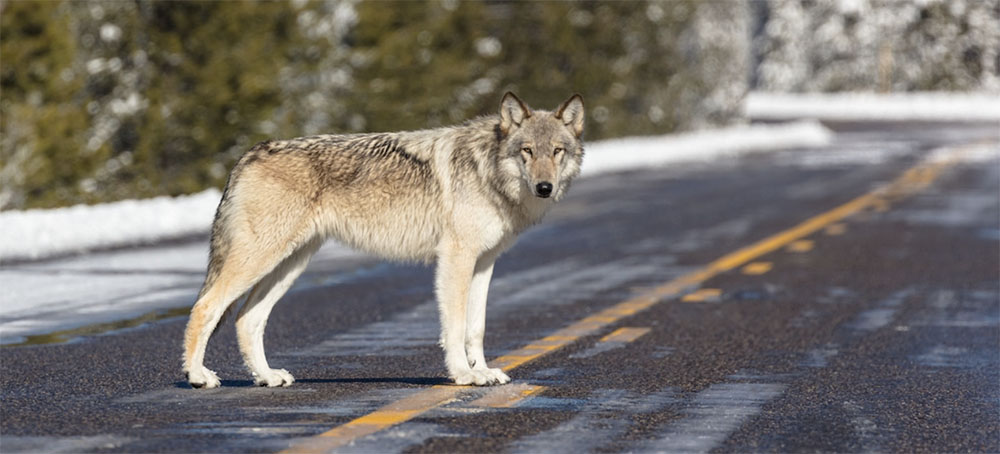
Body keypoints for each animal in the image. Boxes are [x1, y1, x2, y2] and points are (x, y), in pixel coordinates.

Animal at [183, 91, 584, 386]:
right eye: (527, 151)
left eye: (557, 151)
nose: (544, 187)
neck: (488, 171)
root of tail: (249, 153)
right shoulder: (455, 258)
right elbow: (455, 327)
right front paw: (463, 375)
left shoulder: (484, 262)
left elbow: (476, 328)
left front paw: (483, 371)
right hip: (261, 260)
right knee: (206, 306)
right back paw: (198, 376)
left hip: (289, 265)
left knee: (246, 319)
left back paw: (267, 376)